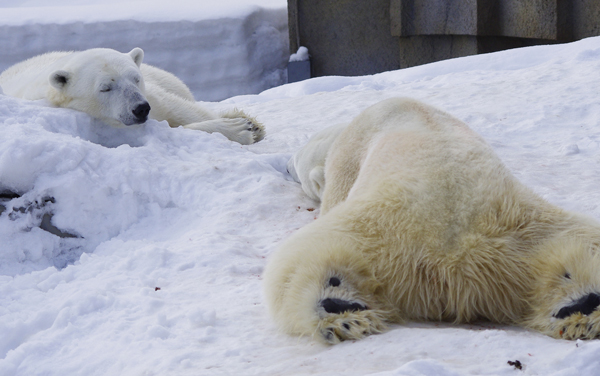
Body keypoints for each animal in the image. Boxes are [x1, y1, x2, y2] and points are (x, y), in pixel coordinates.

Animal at [0, 47, 264, 145]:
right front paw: (241, 128)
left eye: (135, 78)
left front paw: (251, 125)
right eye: (105, 88)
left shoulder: (153, 94)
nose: (140, 108)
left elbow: (179, 109)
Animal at [264, 97, 600, 344]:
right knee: (576, 243)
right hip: (528, 228)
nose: (284, 166)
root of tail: (455, 263)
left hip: (375, 226)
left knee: (304, 257)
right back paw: (582, 307)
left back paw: (340, 309)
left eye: (295, 164)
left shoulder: (347, 162)